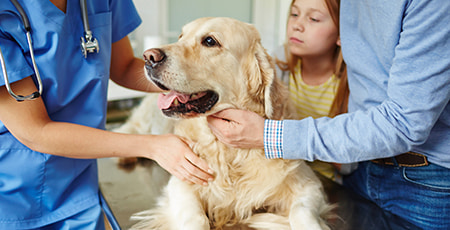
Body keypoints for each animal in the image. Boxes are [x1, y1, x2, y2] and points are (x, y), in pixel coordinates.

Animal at [125, 17, 332, 229]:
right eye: (181, 36)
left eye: (210, 41)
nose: (149, 56)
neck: (230, 153)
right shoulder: (182, 180)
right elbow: (196, 218)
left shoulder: (309, 183)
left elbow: (302, 211)